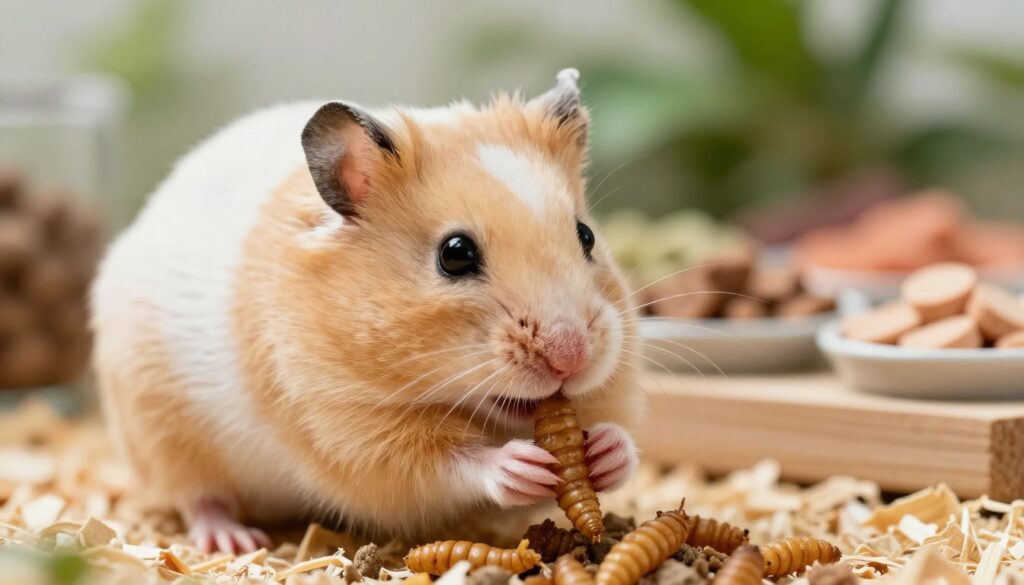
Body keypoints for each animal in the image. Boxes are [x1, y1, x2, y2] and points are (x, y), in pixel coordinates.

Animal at [90, 69, 643, 553]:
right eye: (455, 254)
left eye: (586, 236)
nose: (572, 357)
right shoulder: (346, 431)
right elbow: (445, 464)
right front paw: (517, 465)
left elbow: (622, 436)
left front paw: (607, 450)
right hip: (159, 431)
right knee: (197, 497)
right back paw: (235, 540)